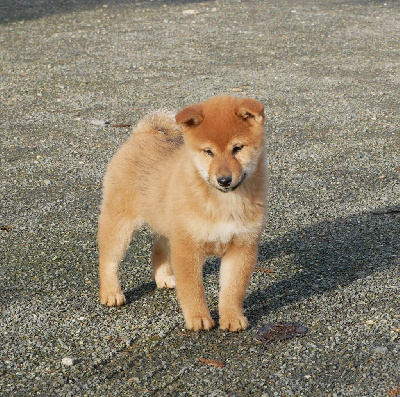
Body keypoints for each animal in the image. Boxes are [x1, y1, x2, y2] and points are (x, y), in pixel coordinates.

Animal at [99, 96, 268, 332]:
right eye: (208, 152)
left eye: (237, 148)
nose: (224, 180)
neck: (223, 203)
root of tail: (142, 134)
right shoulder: (187, 247)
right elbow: (192, 290)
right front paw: (198, 318)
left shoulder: (242, 246)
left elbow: (233, 290)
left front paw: (232, 318)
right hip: (120, 222)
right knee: (108, 258)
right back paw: (111, 293)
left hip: (166, 224)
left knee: (158, 249)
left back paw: (164, 277)